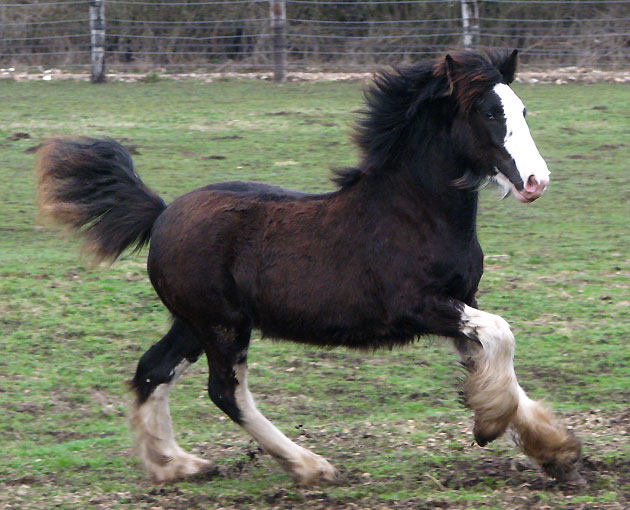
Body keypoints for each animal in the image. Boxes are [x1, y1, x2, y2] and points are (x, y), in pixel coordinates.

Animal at [37, 49, 584, 488]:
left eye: (522, 109)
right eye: (489, 111)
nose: (536, 181)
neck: (413, 213)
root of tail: (162, 213)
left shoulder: (459, 303)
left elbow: (496, 357)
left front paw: (554, 450)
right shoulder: (418, 307)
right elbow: (502, 334)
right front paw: (490, 425)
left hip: (193, 323)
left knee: (153, 370)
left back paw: (176, 465)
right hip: (221, 325)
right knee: (225, 391)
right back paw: (309, 466)